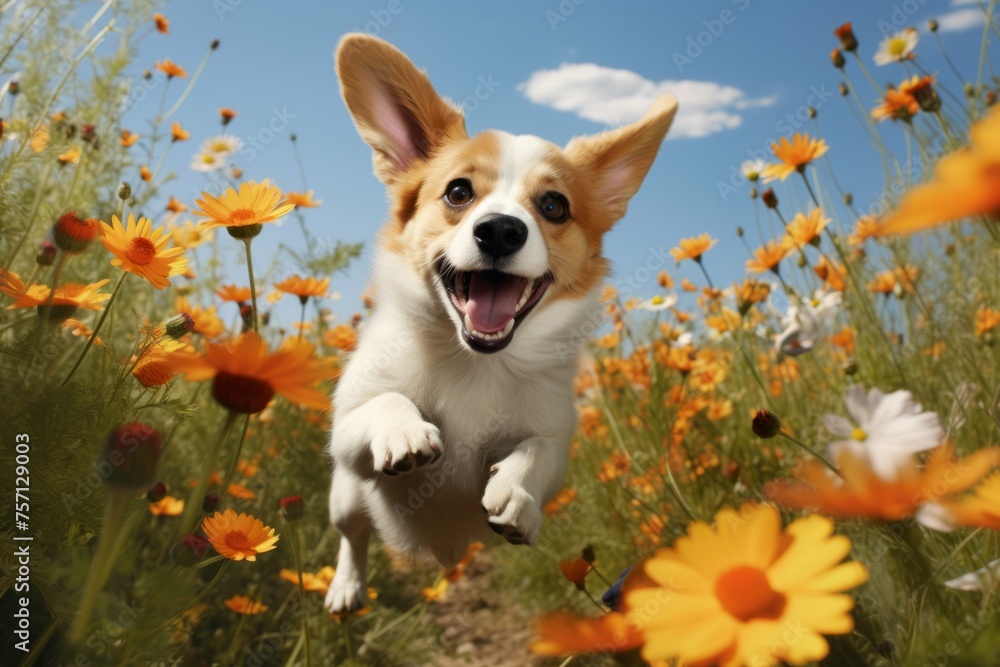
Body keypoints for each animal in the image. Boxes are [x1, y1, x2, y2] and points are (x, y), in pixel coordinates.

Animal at [324, 34, 676, 612]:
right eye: (458, 193)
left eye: (554, 206)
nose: (501, 230)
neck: (475, 362)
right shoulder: (345, 428)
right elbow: (385, 401)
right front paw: (404, 430)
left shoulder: (555, 441)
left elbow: (536, 452)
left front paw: (515, 490)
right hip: (346, 498)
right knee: (353, 536)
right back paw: (346, 587)